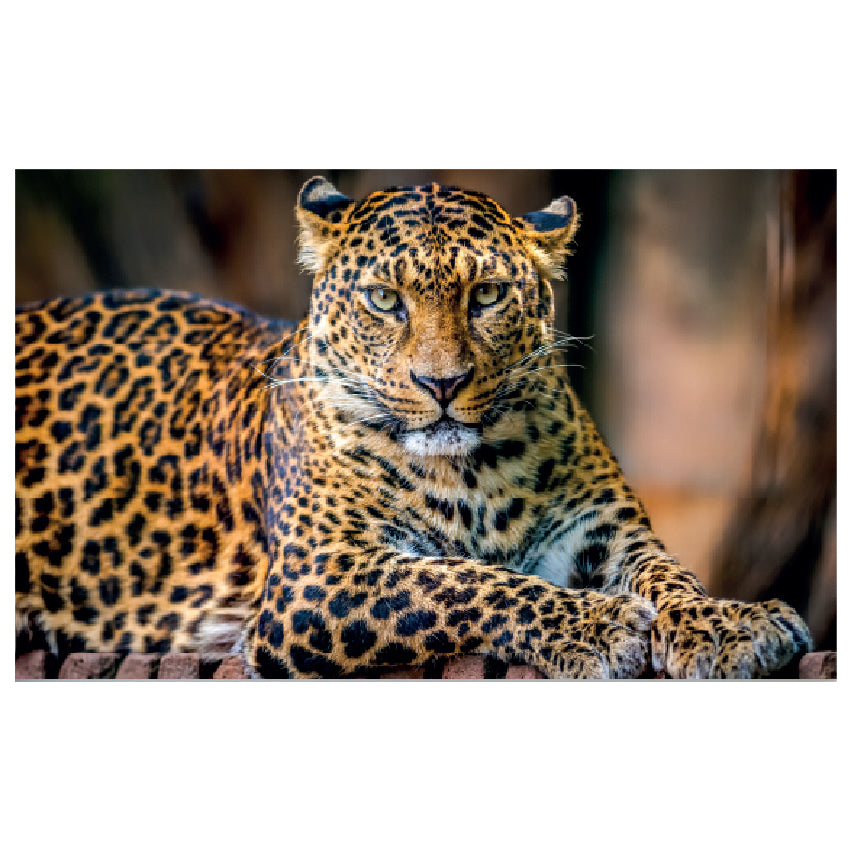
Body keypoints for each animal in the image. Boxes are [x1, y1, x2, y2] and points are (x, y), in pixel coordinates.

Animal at [15, 176, 813, 678]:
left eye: (487, 294)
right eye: (383, 299)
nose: (442, 384)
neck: (475, 471)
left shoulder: (602, 530)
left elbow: (668, 573)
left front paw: (727, 623)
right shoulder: (318, 576)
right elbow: (462, 581)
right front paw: (599, 624)